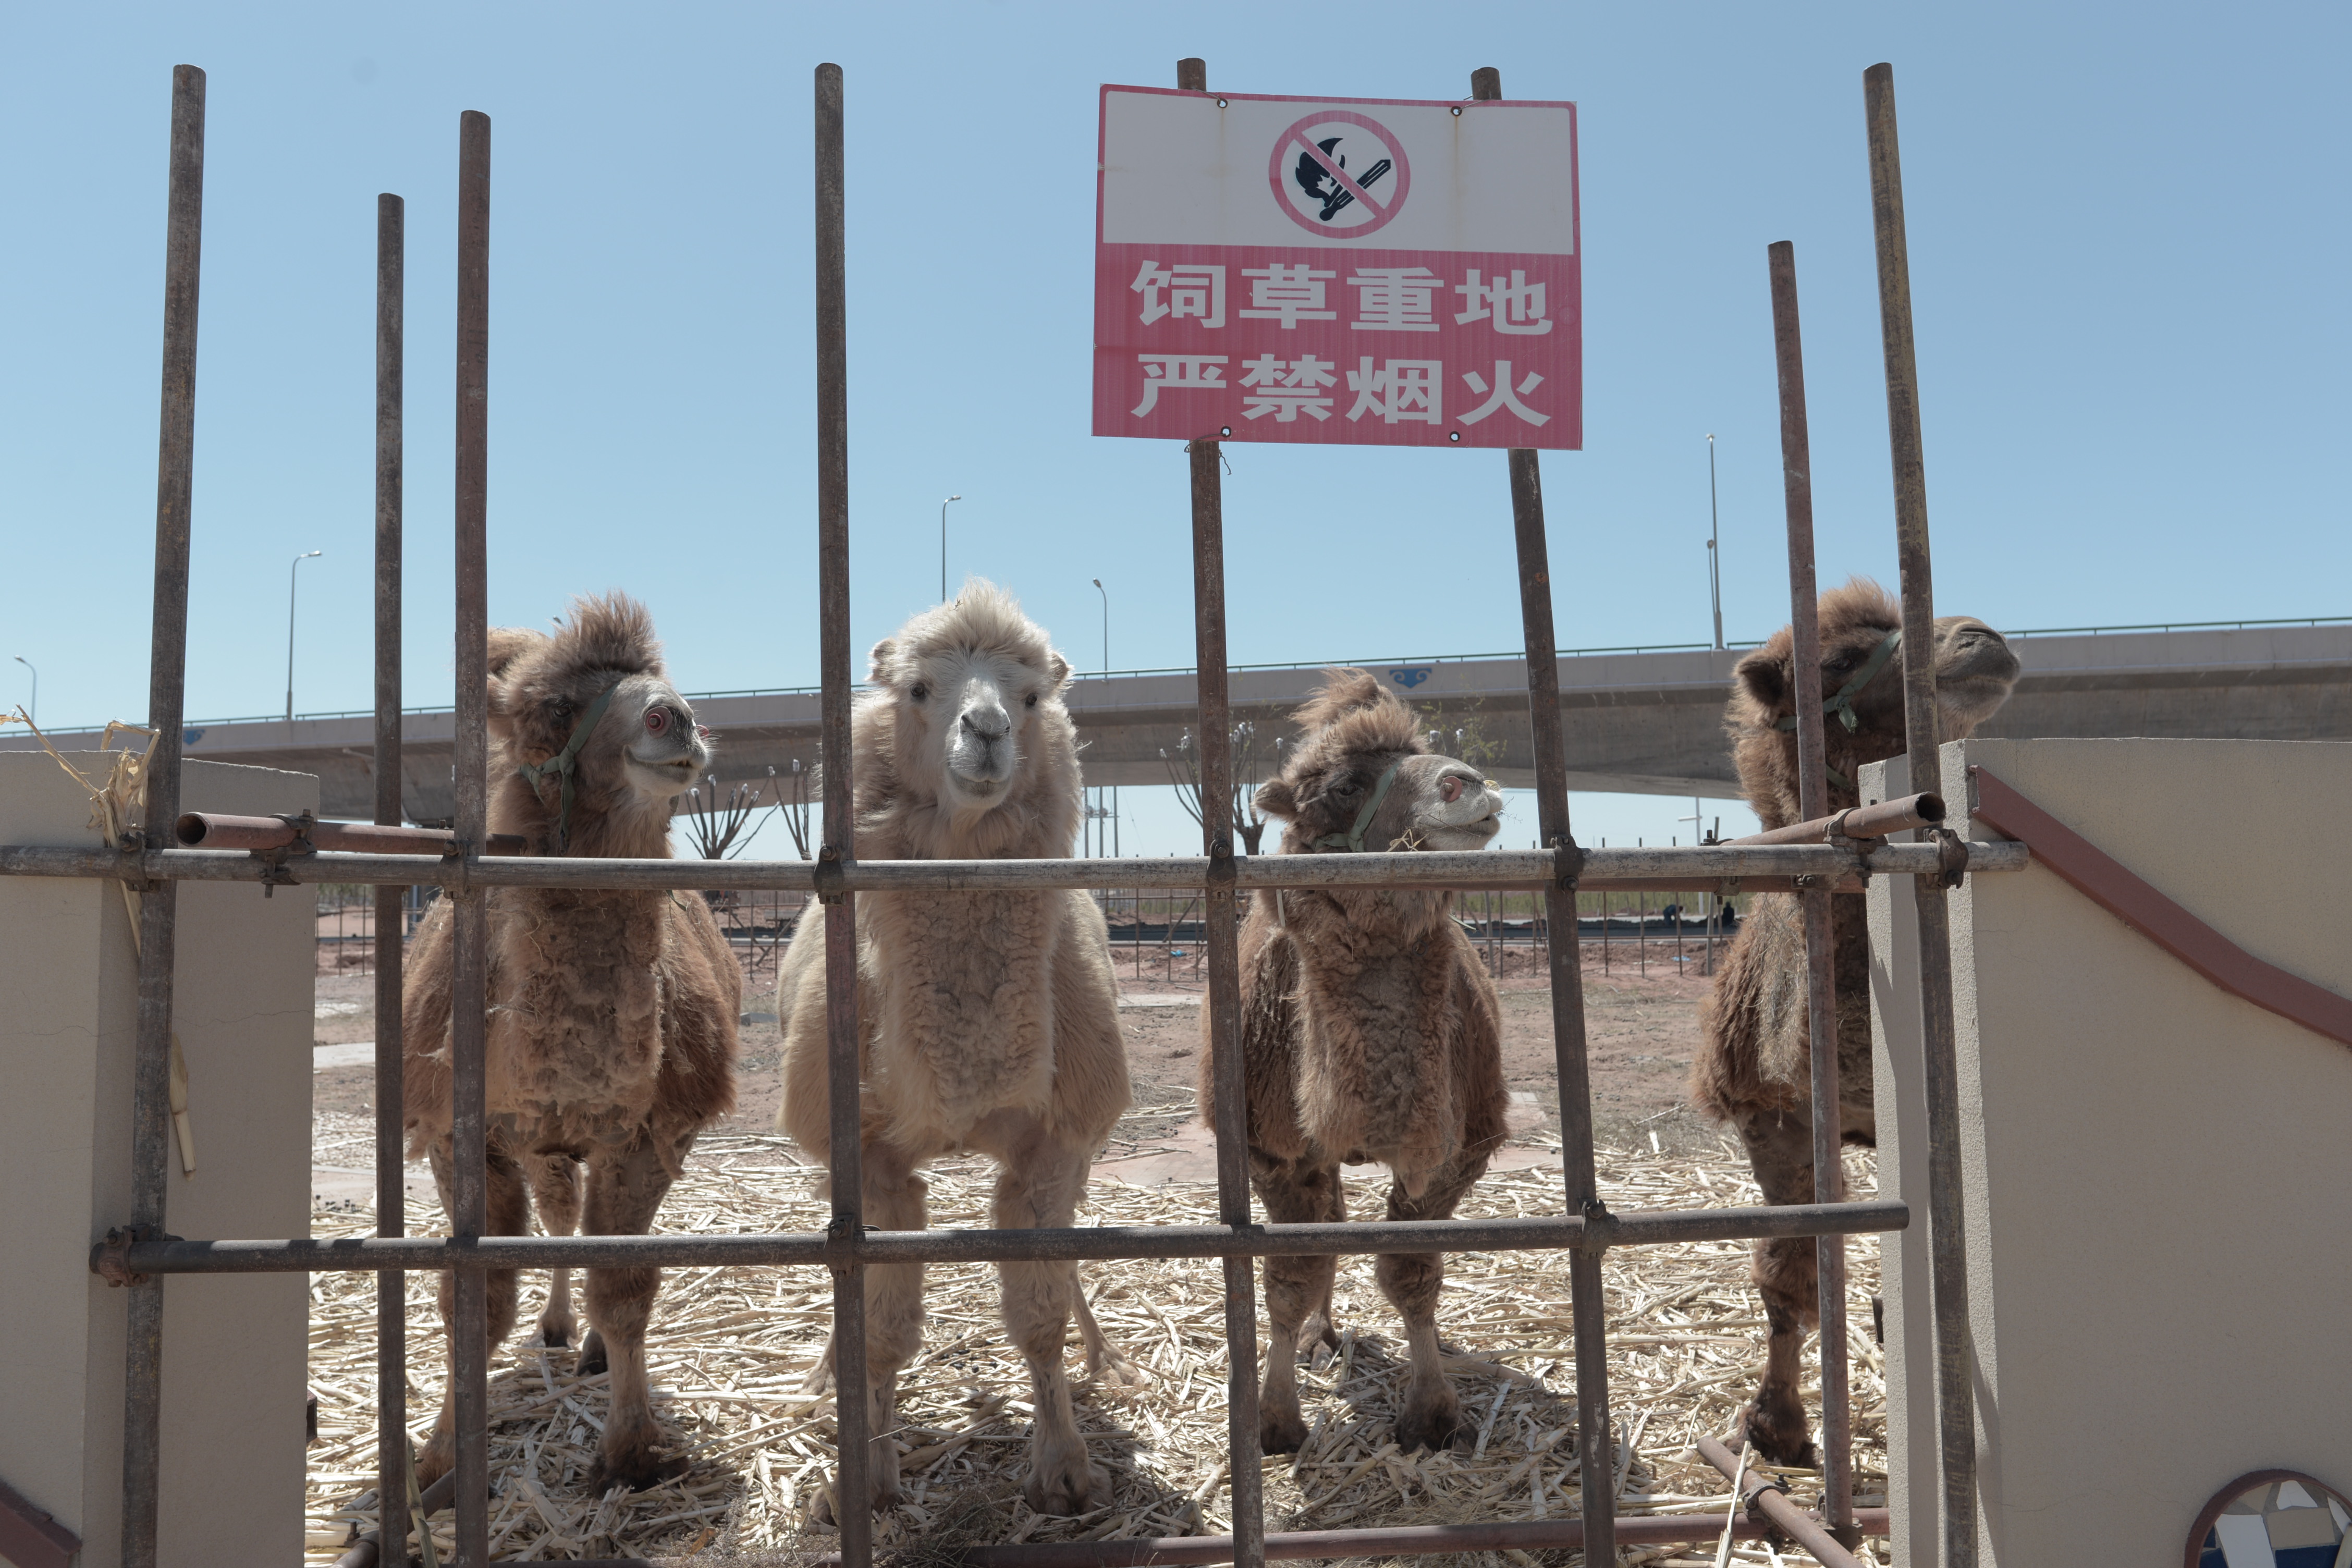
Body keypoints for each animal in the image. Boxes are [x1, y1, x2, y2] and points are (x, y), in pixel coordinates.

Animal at [776, 580, 1133, 1523]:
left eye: (1034, 696)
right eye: (917, 689)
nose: (987, 730)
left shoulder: (1057, 1142)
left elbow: (1039, 1315)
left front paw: (1066, 1470)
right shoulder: (866, 1154)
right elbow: (880, 1330)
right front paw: (859, 1482)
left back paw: (1105, 1358)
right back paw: (821, 1374)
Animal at [1204, 667, 1514, 1457]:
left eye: (1427, 749)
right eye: (1345, 783)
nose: (1467, 783)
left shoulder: (1461, 1147)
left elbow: (1410, 1272)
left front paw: (1432, 1413)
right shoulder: (1271, 1148)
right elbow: (1292, 1274)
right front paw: (1275, 1420)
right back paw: (1318, 1336)